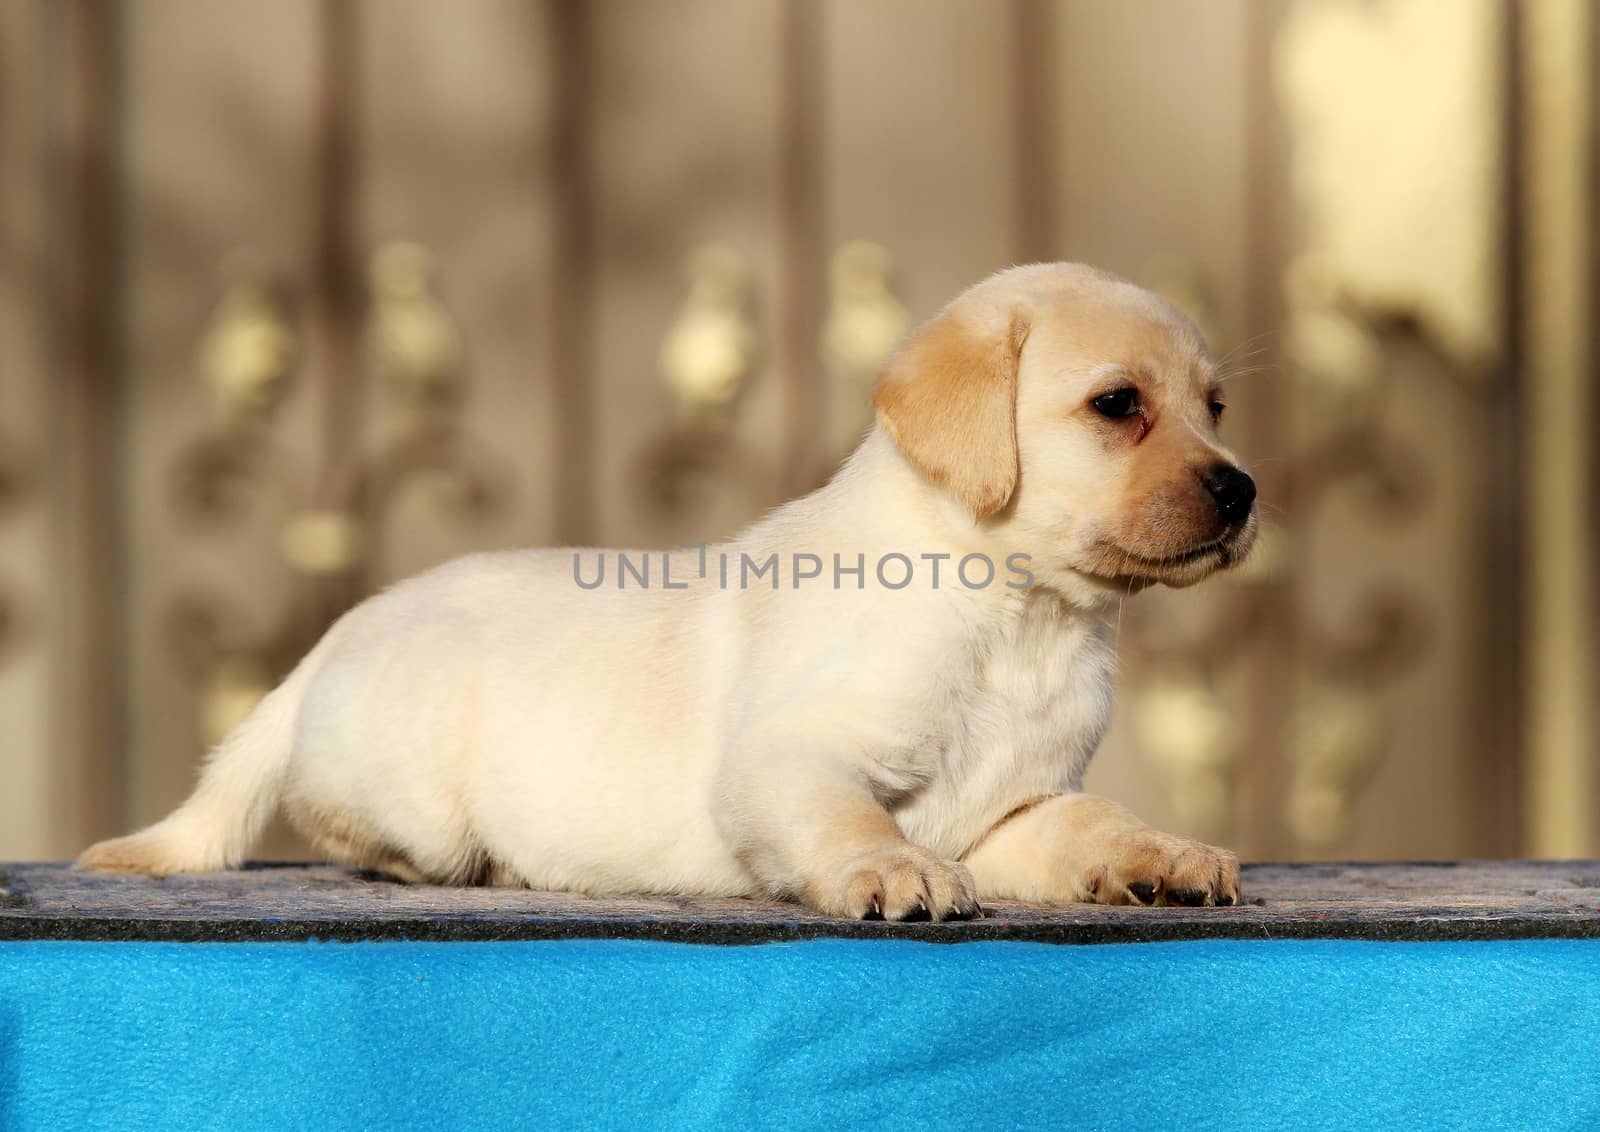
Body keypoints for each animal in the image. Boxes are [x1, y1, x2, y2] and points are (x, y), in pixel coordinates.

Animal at [81, 265, 1254, 920]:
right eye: (1117, 404)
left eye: (1214, 407)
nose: (1242, 490)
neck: (1022, 619)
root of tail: (332, 640)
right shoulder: (788, 757)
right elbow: (848, 818)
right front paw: (891, 873)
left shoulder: (1013, 808)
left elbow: (1093, 818)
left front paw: (1165, 859)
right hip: (413, 798)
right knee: (358, 837)